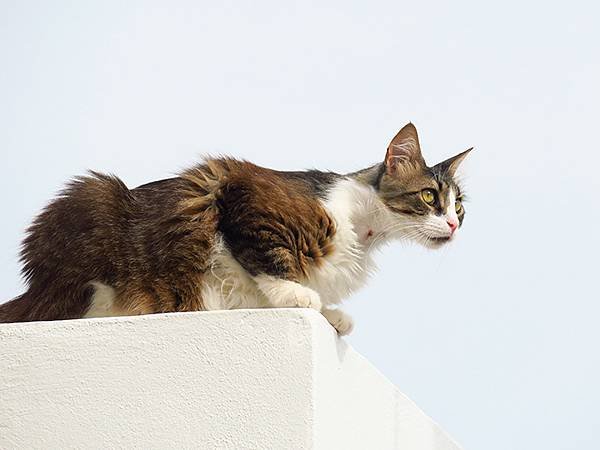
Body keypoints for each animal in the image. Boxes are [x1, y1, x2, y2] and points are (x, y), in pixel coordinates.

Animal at [0, 123, 468, 334]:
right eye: (430, 196)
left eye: (460, 205)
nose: (452, 224)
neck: (365, 232)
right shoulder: (243, 196)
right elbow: (267, 257)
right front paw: (300, 295)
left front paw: (331, 313)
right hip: (94, 196)